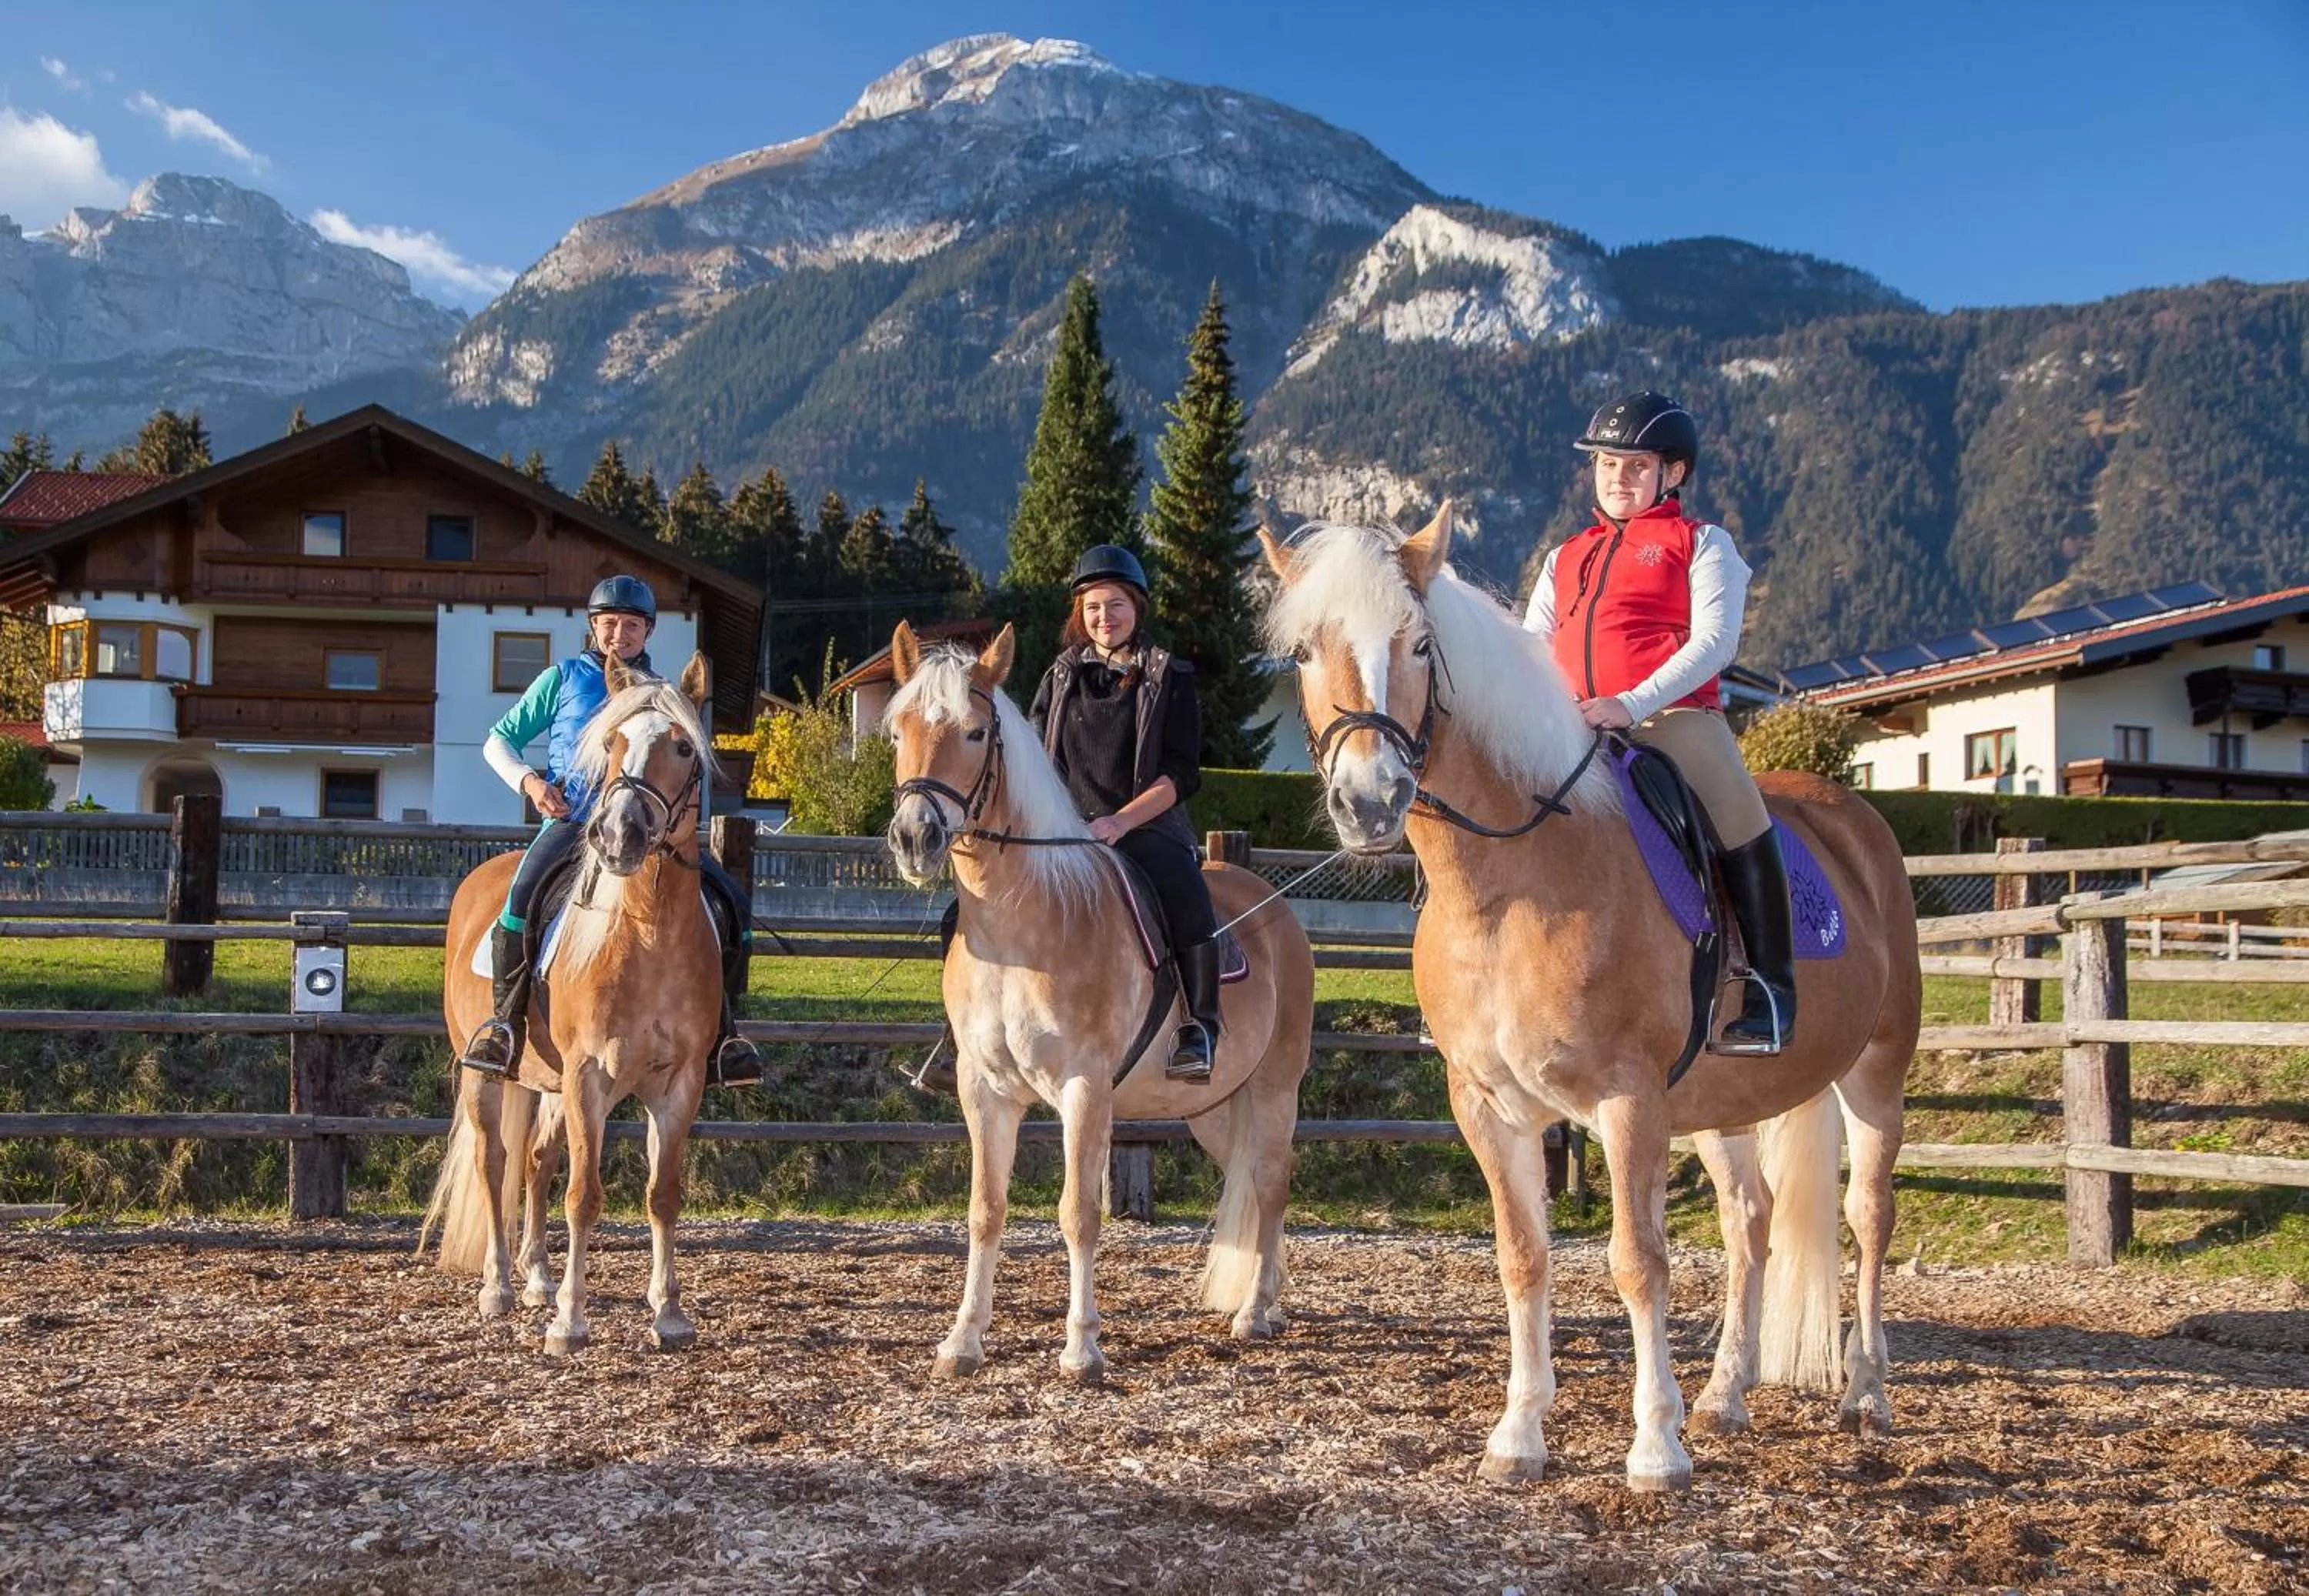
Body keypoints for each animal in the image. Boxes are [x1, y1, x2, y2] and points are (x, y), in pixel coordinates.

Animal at [422, 651, 724, 1355]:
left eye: (682, 747)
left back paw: (535, 1277)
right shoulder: (590, 1075)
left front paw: (669, 1314)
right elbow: (584, 1195)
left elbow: (663, 1194)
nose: (619, 835)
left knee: (536, 1161)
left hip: (550, 1083)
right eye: (611, 744)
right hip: (488, 1076)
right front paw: (570, 1320)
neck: (646, 930)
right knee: (495, 1163)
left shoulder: (679, 1083)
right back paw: (501, 1287)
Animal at [882, 621, 1318, 1381]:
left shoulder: (1084, 1089)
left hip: (1273, 1088)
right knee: (1247, 1176)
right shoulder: (983, 1090)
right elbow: (985, 1209)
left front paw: (1082, 1347)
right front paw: (963, 1341)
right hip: (1212, 1106)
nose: (915, 837)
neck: (1027, 922)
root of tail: (1274, 904)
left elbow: (1078, 1213)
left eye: (974, 732)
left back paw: (1256, 1311)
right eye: (897, 730)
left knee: (1270, 1182)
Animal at [1258, 505, 1920, 1491]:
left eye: (1420, 643)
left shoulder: (1626, 1100)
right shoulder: (1489, 1106)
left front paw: (1655, 1447)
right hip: (1722, 1103)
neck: (1512, 885)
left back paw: (1865, 1394)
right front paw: (1519, 1434)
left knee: (1868, 1216)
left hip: (1875, 1073)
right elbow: (1523, 1257)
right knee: (1751, 1222)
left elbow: (1637, 1263)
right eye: (1305, 650)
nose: (1370, 801)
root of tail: (1855, 817)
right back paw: (1726, 1394)